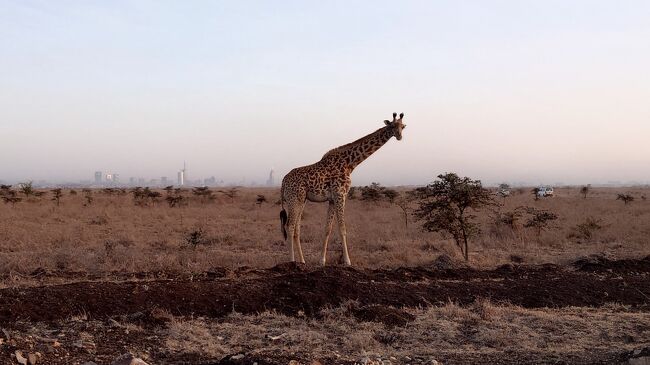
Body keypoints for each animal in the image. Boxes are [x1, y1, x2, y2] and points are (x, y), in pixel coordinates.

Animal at [278, 111, 404, 264]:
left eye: (403, 126)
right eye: (392, 126)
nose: (399, 136)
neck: (350, 163)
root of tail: (283, 182)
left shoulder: (332, 199)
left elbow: (328, 229)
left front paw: (322, 261)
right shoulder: (340, 194)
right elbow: (342, 229)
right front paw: (348, 261)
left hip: (301, 200)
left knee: (296, 228)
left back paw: (302, 261)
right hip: (293, 199)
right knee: (289, 226)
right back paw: (292, 261)